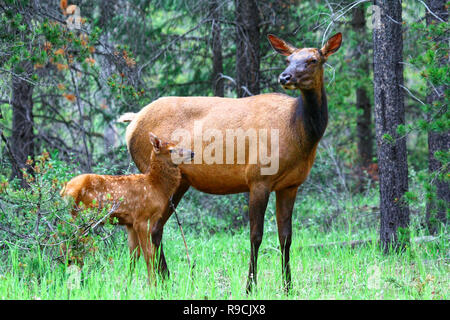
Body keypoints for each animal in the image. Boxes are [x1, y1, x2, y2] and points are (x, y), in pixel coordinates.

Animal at [59, 132, 193, 280]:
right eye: (171, 150)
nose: (192, 153)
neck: (156, 187)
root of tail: (65, 190)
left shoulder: (130, 223)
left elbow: (134, 256)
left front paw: (127, 282)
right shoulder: (142, 218)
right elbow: (149, 254)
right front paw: (152, 283)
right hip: (82, 217)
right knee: (71, 246)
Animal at [119, 32, 342, 292]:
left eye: (313, 60)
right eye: (288, 59)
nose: (284, 77)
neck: (298, 131)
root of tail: (132, 122)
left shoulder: (291, 185)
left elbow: (286, 236)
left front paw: (288, 287)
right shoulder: (258, 178)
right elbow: (256, 235)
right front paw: (250, 286)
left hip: (180, 182)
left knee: (156, 229)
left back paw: (167, 281)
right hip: (154, 170)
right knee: (150, 228)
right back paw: (161, 281)